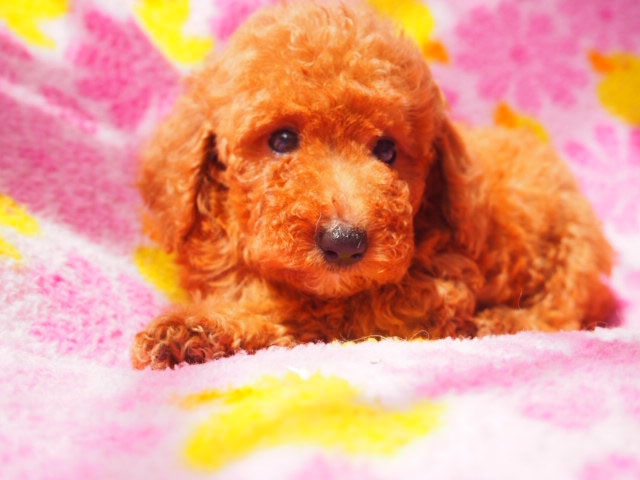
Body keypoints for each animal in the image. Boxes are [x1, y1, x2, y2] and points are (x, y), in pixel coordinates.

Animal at [131, 1, 616, 369]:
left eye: (386, 150)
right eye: (282, 140)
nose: (344, 242)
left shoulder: (423, 297)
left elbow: (295, 317)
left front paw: (197, 329)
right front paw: (191, 330)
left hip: (572, 250)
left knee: (558, 311)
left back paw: (498, 322)